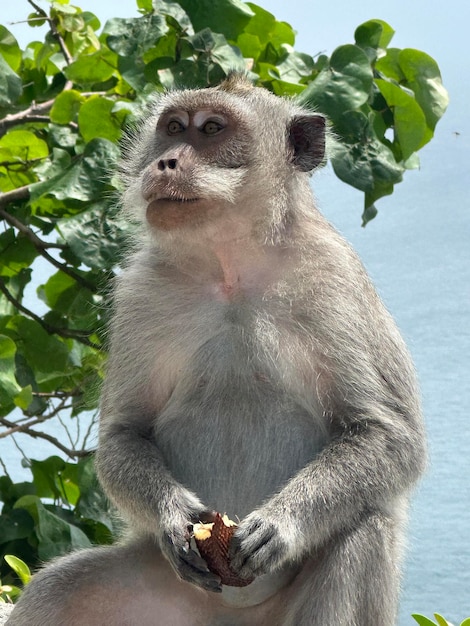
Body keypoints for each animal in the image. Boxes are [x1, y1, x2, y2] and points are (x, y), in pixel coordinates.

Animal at [7, 74, 426, 624]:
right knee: (55, 589)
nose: (166, 162)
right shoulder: (142, 291)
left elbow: (388, 435)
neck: (231, 267)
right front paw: (171, 514)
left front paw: (282, 524)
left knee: (364, 529)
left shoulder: (334, 281)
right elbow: (125, 431)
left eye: (211, 129)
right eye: (173, 128)